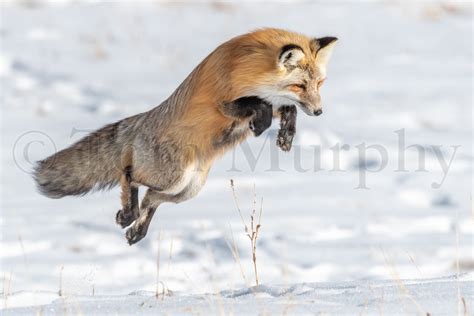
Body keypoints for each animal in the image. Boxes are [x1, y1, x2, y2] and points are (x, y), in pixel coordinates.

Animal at [33, 27, 336, 244]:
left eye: (320, 83)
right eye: (299, 85)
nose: (319, 111)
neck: (248, 67)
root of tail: (140, 123)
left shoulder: (273, 102)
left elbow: (286, 108)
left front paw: (286, 136)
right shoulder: (222, 101)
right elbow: (257, 104)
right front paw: (260, 126)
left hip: (187, 188)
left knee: (150, 199)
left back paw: (135, 230)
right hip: (171, 176)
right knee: (130, 177)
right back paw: (127, 214)